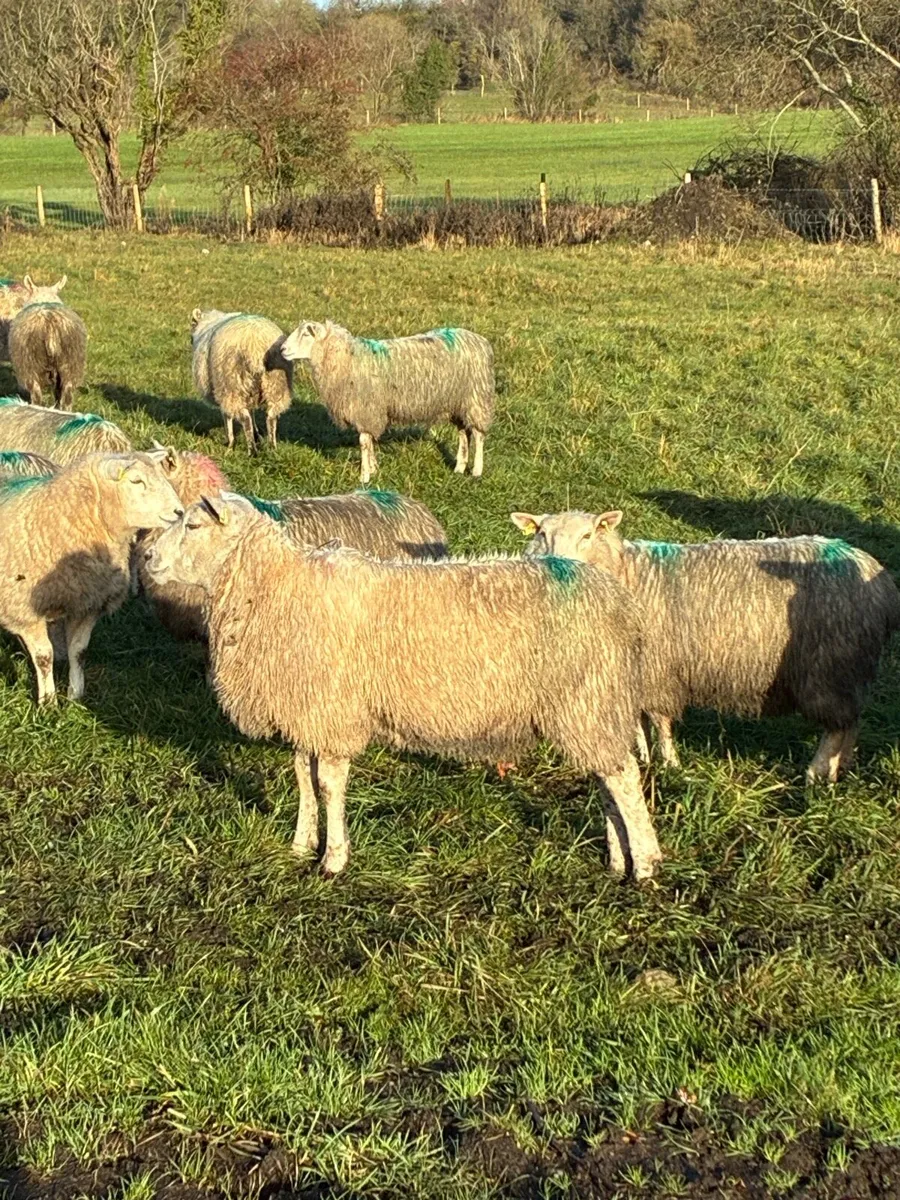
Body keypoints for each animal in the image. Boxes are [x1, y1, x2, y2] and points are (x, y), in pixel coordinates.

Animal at [0, 453, 183, 704]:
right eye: (136, 481)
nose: (179, 512)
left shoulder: (88, 604)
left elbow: (78, 651)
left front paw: (75, 695)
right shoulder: (24, 611)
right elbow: (44, 657)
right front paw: (48, 702)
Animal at [190, 309, 293, 454]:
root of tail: (256, 349)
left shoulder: (221, 389)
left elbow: (227, 416)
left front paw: (230, 443)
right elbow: (251, 411)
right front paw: (257, 436)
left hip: (232, 385)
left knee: (245, 419)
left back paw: (252, 451)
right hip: (276, 384)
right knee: (271, 416)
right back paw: (272, 447)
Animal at [280, 320, 494, 484]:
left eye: (306, 335)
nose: (282, 349)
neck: (347, 359)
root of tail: (480, 340)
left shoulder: (366, 409)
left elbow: (364, 442)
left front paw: (365, 476)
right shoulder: (370, 412)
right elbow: (369, 441)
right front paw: (373, 468)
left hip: (476, 399)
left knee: (478, 435)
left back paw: (477, 470)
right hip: (459, 403)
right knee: (463, 433)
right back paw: (459, 467)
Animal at [511, 509, 900, 782]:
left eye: (588, 534)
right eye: (542, 534)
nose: (557, 563)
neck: (626, 574)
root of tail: (880, 581)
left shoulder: (658, 670)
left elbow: (660, 722)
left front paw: (669, 764)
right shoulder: (633, 671)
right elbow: (637, 723)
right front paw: (642, 758)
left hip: (832, 665)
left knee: (837, 726)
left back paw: (816, 774)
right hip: (847, 669)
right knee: (852, 722)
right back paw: (838, 770)